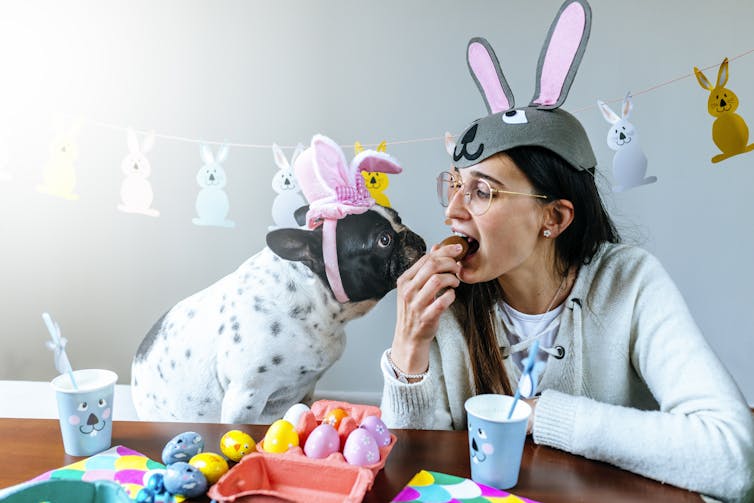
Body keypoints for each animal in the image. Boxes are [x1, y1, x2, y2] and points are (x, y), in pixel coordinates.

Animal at [130, 206, 424, 426]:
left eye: (398, 218)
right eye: (384, 240)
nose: (412, 237)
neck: (314, 304)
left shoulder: (306, 391)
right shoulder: (245, 397)